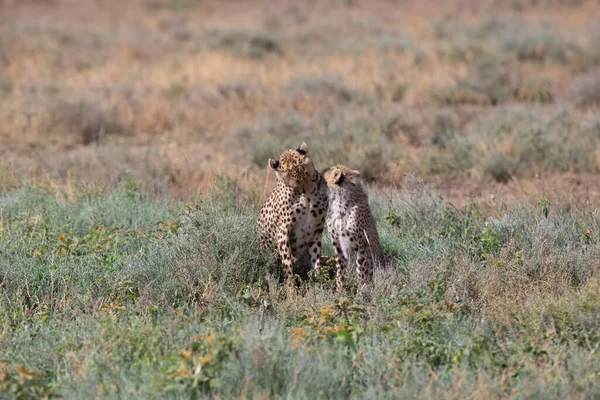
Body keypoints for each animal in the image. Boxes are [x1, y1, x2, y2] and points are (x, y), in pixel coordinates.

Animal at [256, 142, 328, 286]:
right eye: (290, 173)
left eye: (302, 165)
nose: (307, 185)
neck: (305, 192)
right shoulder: (283, 231)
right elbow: (288, 267)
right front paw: (291, 291)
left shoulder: (317, 230)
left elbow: (316, 262)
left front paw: (319, 284)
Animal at [324, 164, 390, 292]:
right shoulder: (338, 246)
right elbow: (340, 269)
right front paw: (340, 289)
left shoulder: (361, 246)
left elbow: (361, 269)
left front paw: (361, 290)